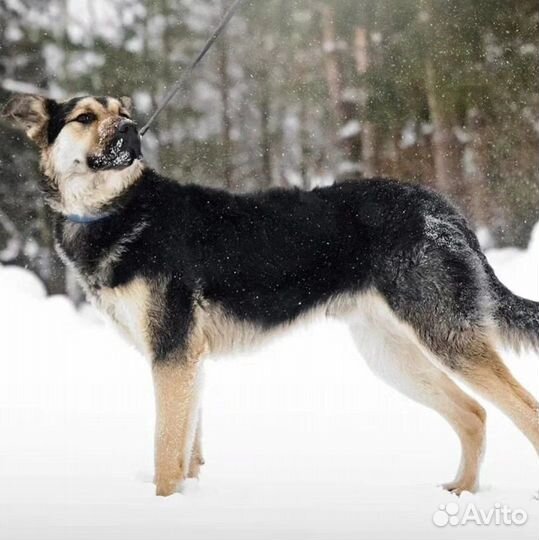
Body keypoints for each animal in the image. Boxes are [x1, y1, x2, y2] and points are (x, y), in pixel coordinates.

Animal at [1, 94, 539, 498]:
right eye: (85, 117)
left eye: (123, 111)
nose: (132, 130)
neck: (122, 209)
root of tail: (445, 210)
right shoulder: (187, 360)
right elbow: (187, 451)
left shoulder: (172, 355)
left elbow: (165, 454)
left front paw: (163, 508)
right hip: (392, 354)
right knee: (473, 414)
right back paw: (462, 491)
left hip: (445, 337)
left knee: (523, 410)